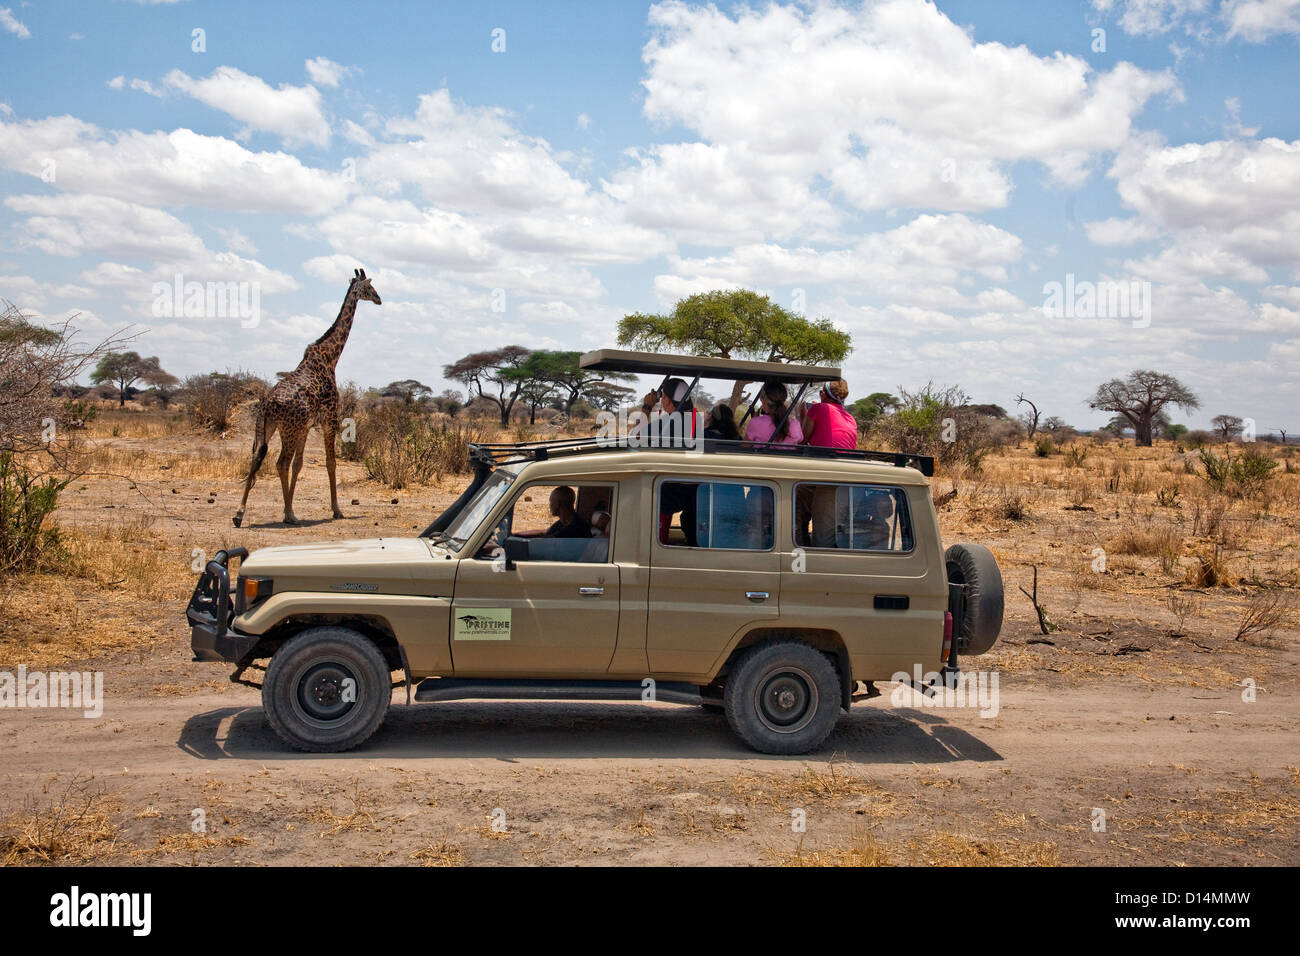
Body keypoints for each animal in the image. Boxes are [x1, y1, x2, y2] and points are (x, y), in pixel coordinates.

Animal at [233, 267, 379, 530]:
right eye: (370, 287)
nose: (379, 299)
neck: (331, 356)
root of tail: (268, 405)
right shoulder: (330, 420)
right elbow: (330, 463)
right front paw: (336, 510)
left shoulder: (306, 427)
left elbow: (299, 465)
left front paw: (287, 508)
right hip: (288, 429)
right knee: (280, 463)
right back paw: (290, 515)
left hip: (267, 427)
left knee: (256, 459)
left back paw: (240, 514)